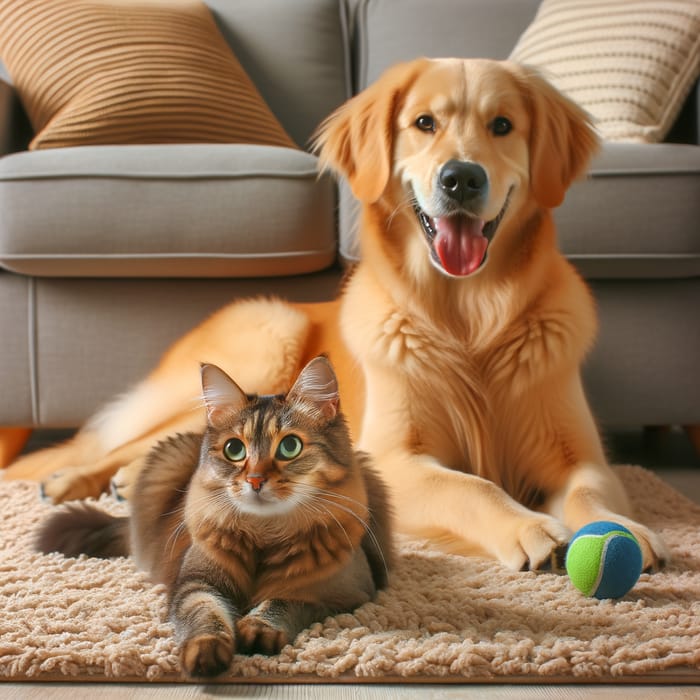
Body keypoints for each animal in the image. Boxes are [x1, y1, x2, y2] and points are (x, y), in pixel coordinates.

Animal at [5, 57, 668, 572]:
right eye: (423, 123)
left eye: (503, 126)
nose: (461, 178)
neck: (469, 317)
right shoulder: (392, 458)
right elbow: (470, 486)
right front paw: (530, 527)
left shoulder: (579, 455)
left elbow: (591, 495)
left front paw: (621, 531)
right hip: (270, 334)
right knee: (127, 439)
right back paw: (73, 479)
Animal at [37, 358, 394, 676]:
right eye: (234, 450)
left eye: (290, 446)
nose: (255, 480)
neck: (265, 532)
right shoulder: (196, 583)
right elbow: (205, 615)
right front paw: (205, 653)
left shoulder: (341, 592)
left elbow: (283, 601)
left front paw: (258, 630)